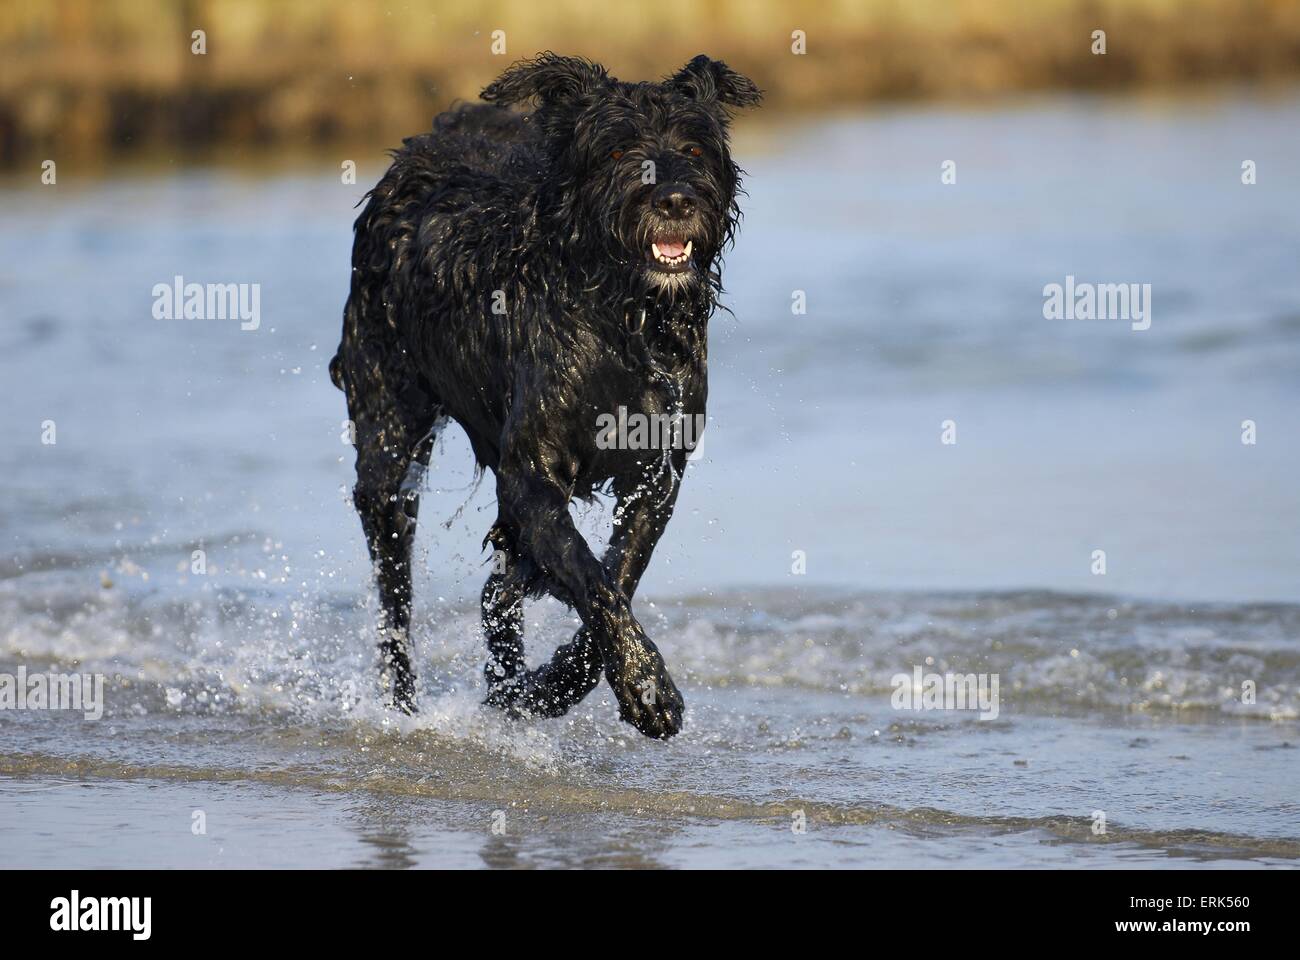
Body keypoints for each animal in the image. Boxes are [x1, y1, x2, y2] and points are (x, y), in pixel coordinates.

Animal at [327, 52, 759, 738]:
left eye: (694, 147)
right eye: (618, 150)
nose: (675, 199)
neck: (620, 318)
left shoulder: (657, 476)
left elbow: (618, 575)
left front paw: (556, 687)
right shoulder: (530, 475)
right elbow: (589, 576)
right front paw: (646, 686)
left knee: (499, 592)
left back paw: (511, 688)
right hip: (388, 444)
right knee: (395, 598)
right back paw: (405, 708)